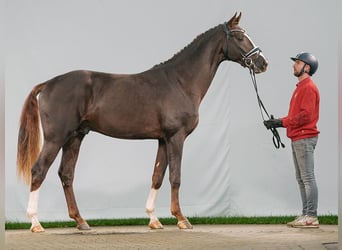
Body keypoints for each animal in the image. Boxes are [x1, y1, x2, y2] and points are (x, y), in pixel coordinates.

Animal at [16, 12, 268, 232]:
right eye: (239, 36)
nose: (262, 63)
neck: (180, 81)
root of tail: (48, 83)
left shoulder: (163, 140)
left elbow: (157, 176)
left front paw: (154, 220)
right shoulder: (176, 137)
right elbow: (175, 176)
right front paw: (181, 219)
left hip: (75, 137)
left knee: (66, 174)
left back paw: (81, 221)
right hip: (56, 138)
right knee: (38, 171)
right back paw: (36, 223)